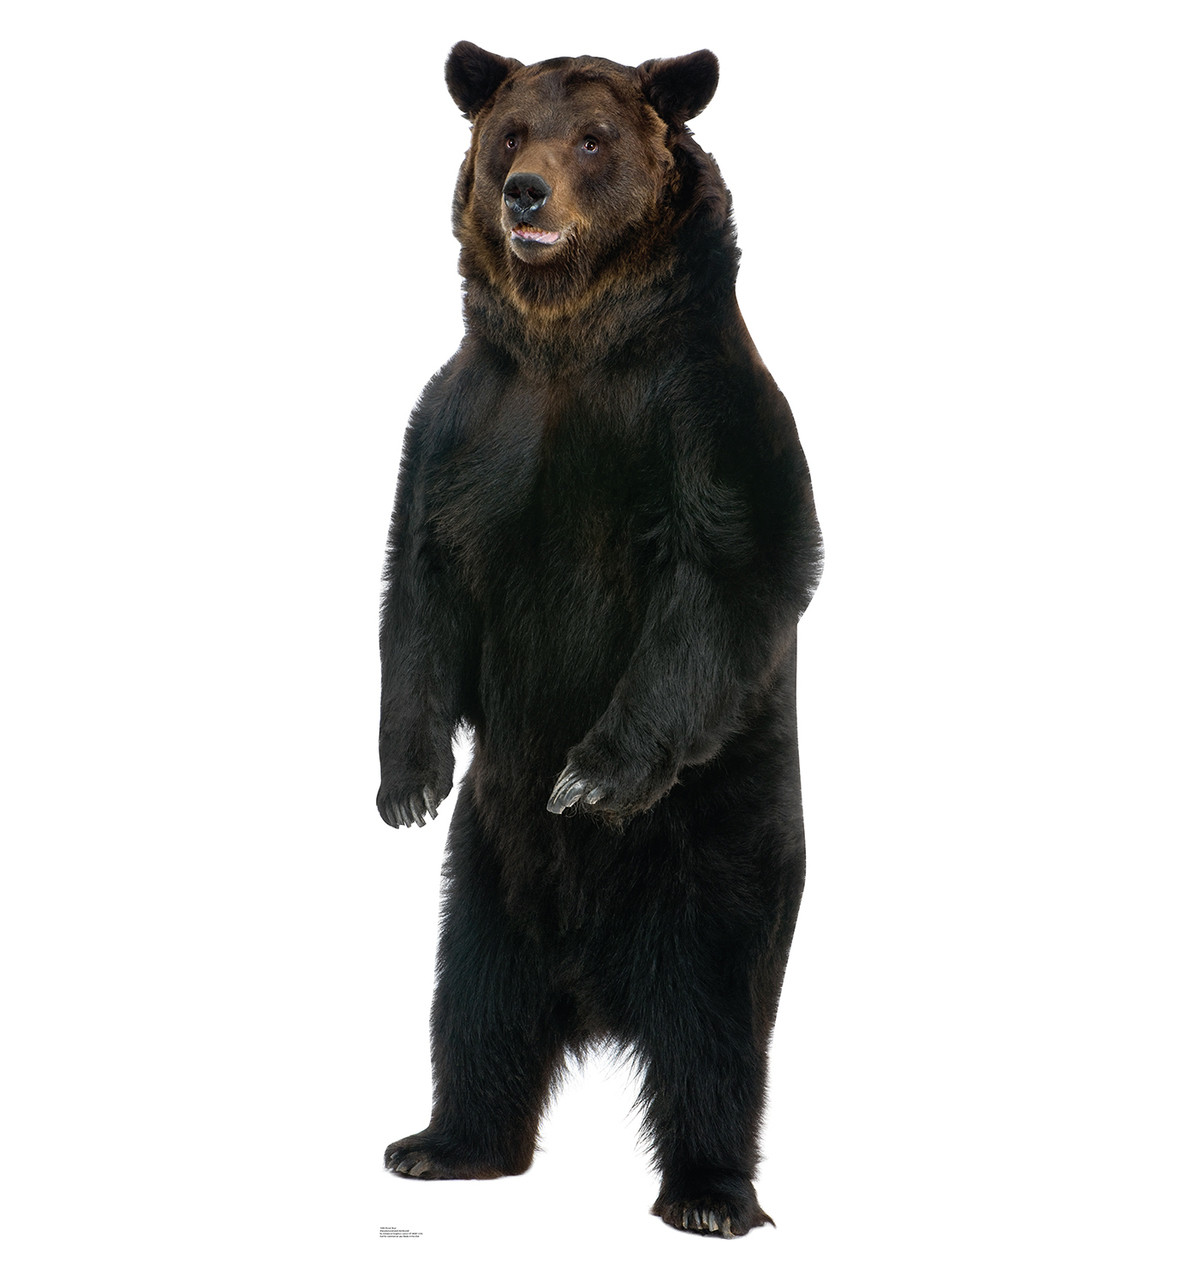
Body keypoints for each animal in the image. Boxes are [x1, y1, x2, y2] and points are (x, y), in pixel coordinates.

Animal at [376, 41, 822, 1238]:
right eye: (508, 134)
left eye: (592, 139)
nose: (525, 193)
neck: (570, 340)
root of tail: (596, 990)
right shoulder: (467, 423)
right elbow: (420, 586)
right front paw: (406, 780)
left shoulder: (700, 417)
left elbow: (722, 576)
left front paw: (589, 775)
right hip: (486, 877)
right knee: (473, 1005)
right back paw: (443, 1143)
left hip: (721, 852)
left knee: (715, 1032)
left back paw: (709, 1193)